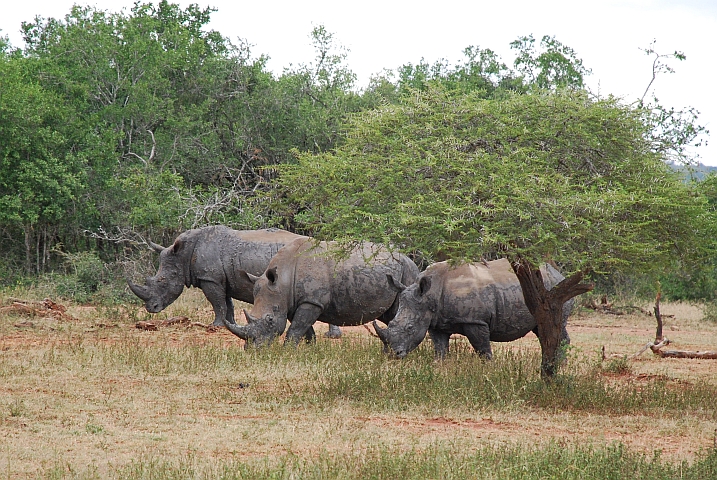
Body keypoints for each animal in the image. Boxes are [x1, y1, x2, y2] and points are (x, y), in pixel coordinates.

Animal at [129, 227, 310, 328]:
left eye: (164, 281)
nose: (151, 308)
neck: (183, 255)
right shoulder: (222, 279)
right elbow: (226, 303)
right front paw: (229, 324)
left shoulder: (210, 278)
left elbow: (217, 302)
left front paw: (214, 326)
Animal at [221, 237, 416, 344]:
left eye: (269, 319)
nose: (253, 349)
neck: (283, 280)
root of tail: (409, 258)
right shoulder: (294, 301)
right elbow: (305, 330)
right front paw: (310, 351)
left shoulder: (312, 302)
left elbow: (296, 329)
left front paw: (287, 351)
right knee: (390, 315)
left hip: (407, 272)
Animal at [374, 258, 572, 356]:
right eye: (391, 324)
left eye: (410, 328)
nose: (394, 354)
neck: (429, 295)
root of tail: (558, 273)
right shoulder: (436, 322)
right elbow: (440, 350)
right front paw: (441, 369)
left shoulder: (475, 321)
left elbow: (483, 350)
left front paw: (487, 372)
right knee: (542, 329)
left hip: (554, 289)